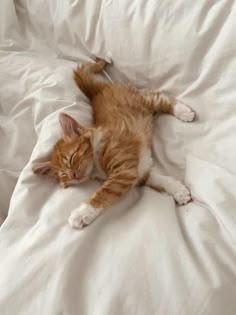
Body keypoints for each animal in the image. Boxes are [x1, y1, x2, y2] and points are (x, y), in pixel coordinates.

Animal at [32, 58, 195, 230]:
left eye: (71, 158)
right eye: (63, 175)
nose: (73, 175)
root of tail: (96, 92)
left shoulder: (123, 173)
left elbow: (103, 194)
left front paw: (81, 214)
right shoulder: (138, 171)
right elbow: (159, 179)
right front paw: (178, 191)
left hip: (140, 101)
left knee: (160, 98)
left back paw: (183, 111)